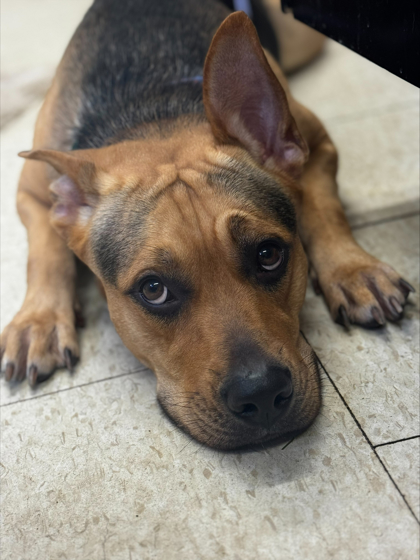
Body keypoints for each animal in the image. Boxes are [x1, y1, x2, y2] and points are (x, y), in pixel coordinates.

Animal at [1, 0, 414, 450]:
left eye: (269, 254)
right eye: (153, 289)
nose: (261, 394)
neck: (154, 111)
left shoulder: (319, 144)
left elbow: (324, 208)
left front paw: (354, 270)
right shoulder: (32, 193)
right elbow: (45, 254)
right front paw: (39, 322)